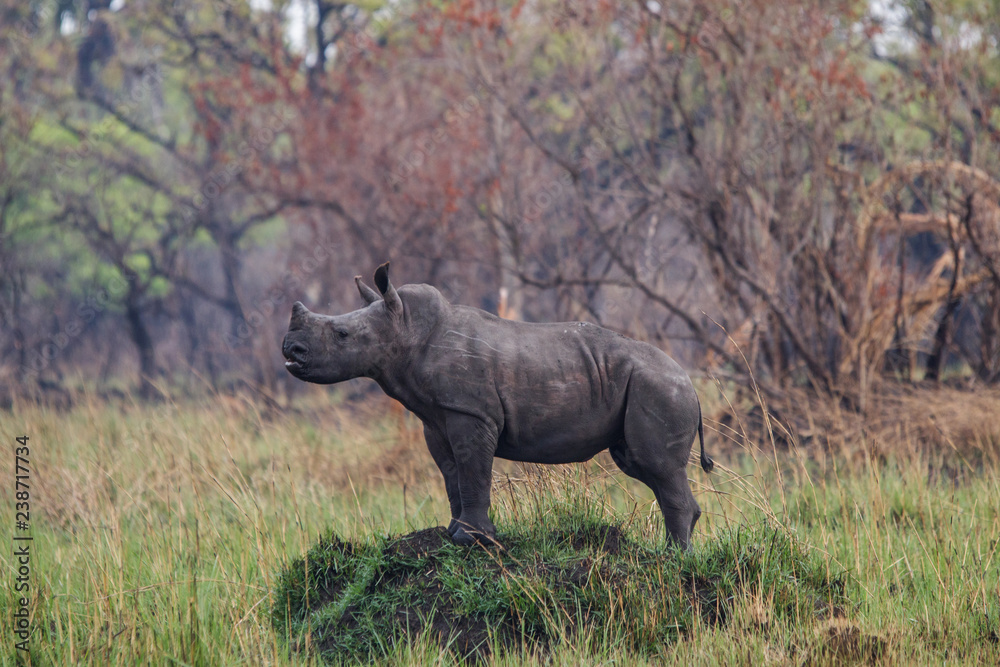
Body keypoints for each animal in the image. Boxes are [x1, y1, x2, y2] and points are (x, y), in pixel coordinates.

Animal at [282, 263, 713, 549]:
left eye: (341, 334)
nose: (290, 350)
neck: (406, 328)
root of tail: (691, 383)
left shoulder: (470, 412)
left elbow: (474, 472)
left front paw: (473, 540)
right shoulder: (438, 417)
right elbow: (451, 475)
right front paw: (453, 532)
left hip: (657, 386)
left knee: (656, 464)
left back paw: (673, 560)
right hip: (647, 385)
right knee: (642, 465)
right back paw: (673, 554)